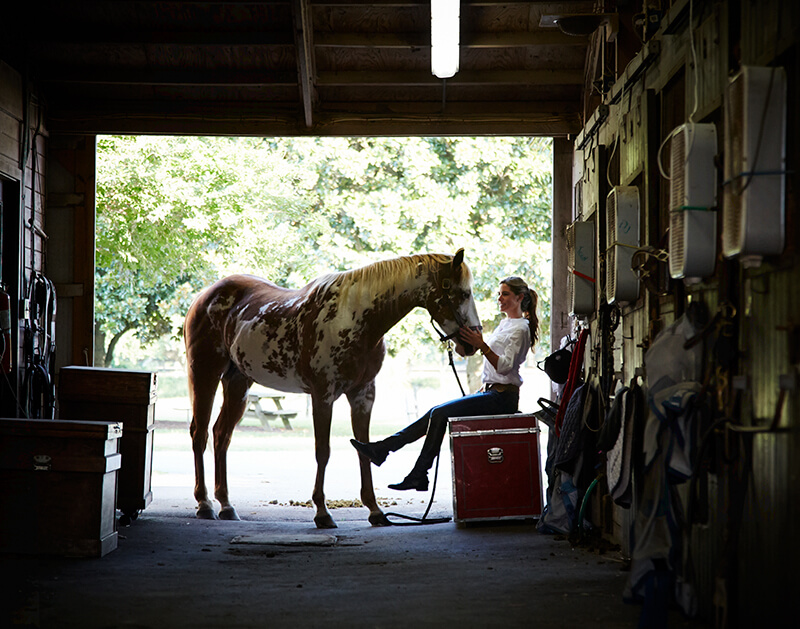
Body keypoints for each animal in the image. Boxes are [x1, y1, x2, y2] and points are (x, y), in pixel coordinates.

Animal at [183, 249, 481, 528]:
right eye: (463, 293)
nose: (472, 343)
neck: (353, 317)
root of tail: (204, 297)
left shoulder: (363, 394)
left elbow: (363, 448)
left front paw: (375, 511)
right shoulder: (323, 395)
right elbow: (323, 451)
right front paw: (322, 512)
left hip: (238, 384)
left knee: (221, 435)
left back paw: (226, 505)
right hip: (205, 375)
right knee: (200, 434)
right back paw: (204, 504)